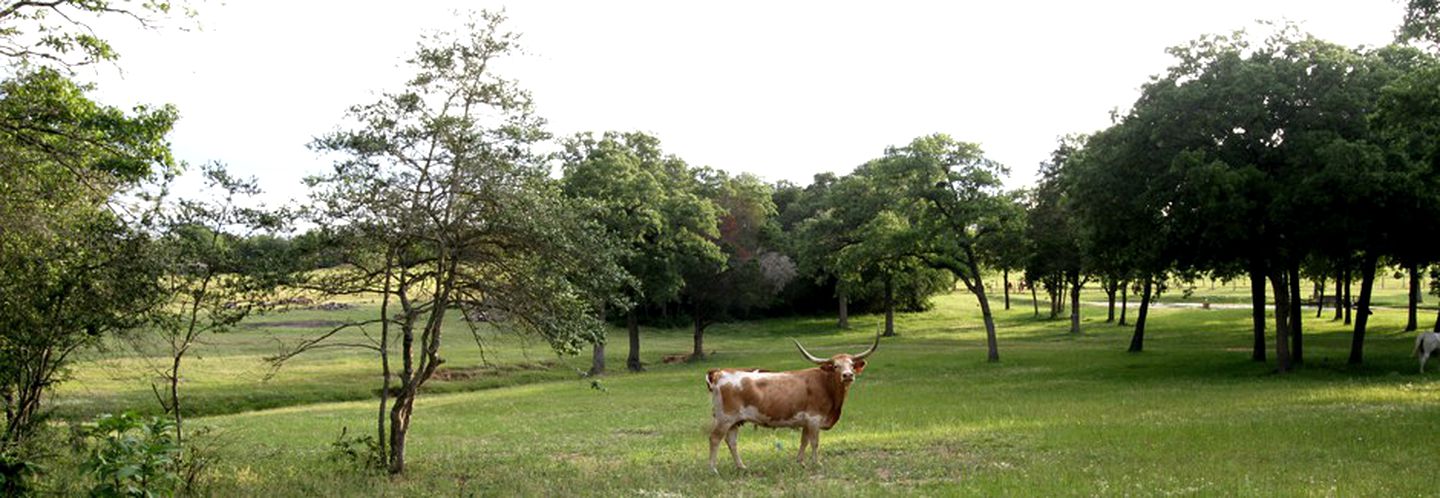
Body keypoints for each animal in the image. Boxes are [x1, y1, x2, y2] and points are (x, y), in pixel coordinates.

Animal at [699, 333, 875, 472]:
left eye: (851, 365)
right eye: (835, 366)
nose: (848, 375)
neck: (825, 384)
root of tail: (720, 373)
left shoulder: (806, 421)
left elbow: (804, 441)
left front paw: (800, 462)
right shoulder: (814, 419)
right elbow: (814, 442)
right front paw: (816, 463)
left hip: (735, 421)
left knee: (731, 441)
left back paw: (741, 466)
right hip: (724, 418)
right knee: (714, 439)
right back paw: (713, 469)